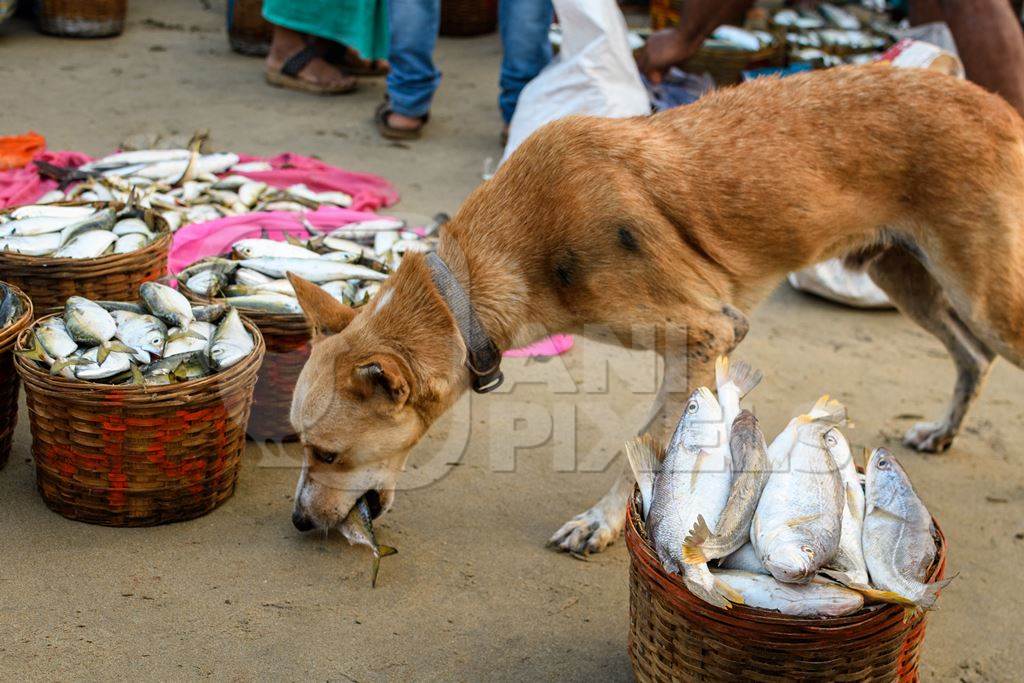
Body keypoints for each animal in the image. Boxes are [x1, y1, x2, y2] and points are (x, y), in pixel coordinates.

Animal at [284, 63, 1019, 557]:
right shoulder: (703, 347)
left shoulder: (709, 330)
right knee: (972, 357)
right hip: (904, 276)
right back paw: (943, 430)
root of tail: (991, 100)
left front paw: (604, 521)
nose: (296, 522)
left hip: (985, 296)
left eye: (325, 452)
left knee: (988, 345)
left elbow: (647, 441)